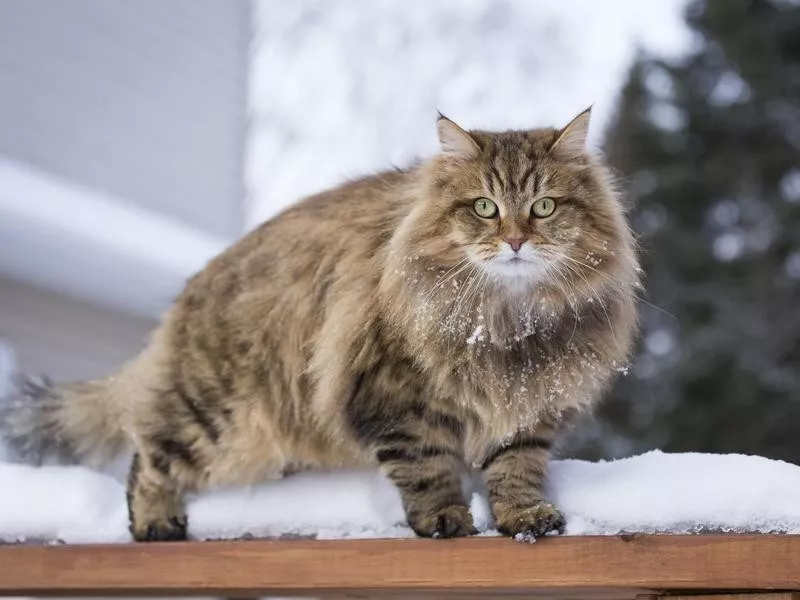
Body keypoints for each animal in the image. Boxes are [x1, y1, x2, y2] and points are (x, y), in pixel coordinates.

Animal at [0, 109, 636, 544]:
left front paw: (525, 517)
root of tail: (195, 288)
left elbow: (516, 468)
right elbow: (426, 467)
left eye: (544, 207)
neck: (506, 321)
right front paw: (445, 518)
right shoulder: (393, 397)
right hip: (216, 416)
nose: (515, 240)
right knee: (148, 455)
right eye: (484, 207)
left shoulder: (528, 406)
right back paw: (157, 522)